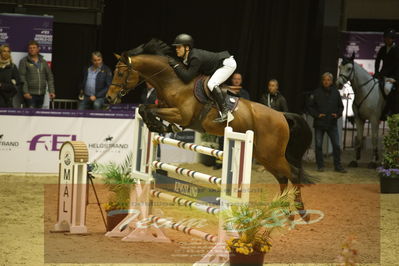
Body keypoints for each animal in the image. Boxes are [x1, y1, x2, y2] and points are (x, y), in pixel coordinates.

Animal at [105, 39, 316, 220]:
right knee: (282, 177)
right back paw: (284, 211)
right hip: (264, 155)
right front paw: (157, 125)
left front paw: (157, 125)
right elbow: (144, 108)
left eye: (121, 74)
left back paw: (301, 212)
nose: (108, 98)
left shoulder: (181, 115)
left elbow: (149, 109)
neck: (172, 81)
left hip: (271, 154)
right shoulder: (166, 108)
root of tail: (281, 115)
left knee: (292, 174)